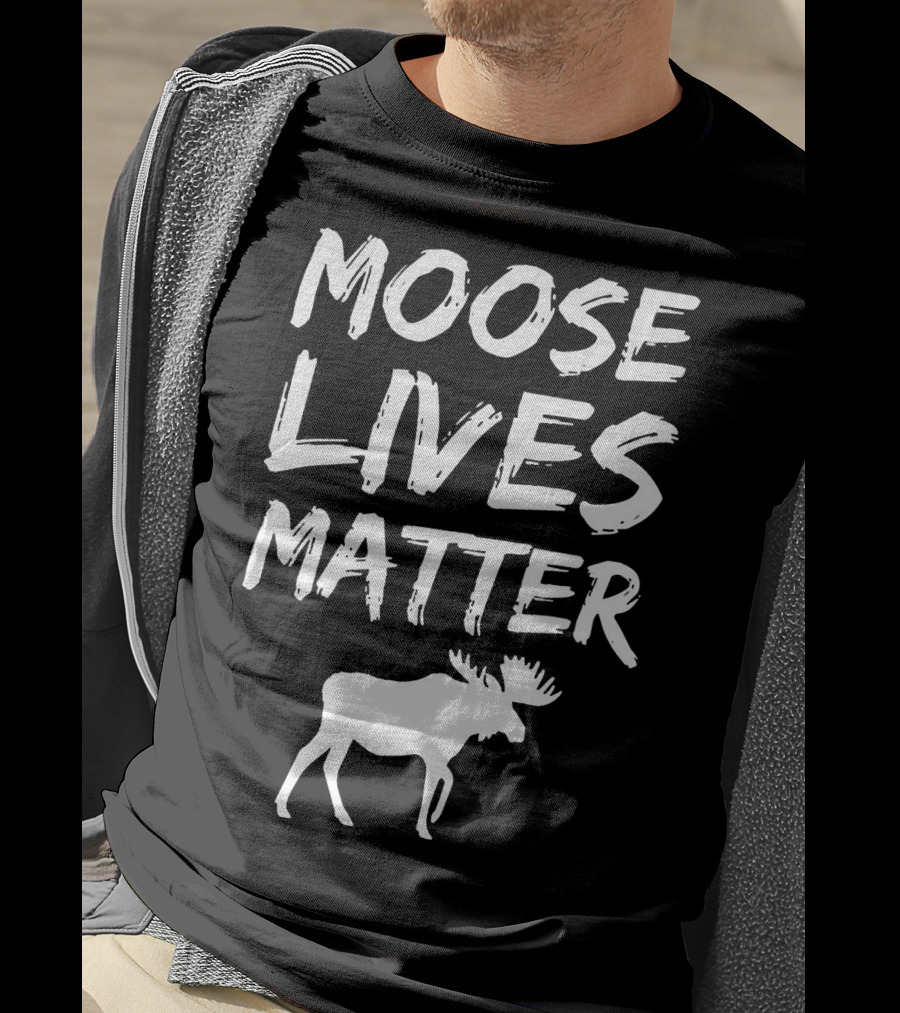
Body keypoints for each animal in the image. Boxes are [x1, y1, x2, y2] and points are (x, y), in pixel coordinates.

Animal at [275, 651, 561, 840]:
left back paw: (341, 815)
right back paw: (283, 806)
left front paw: (430, 821)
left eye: (512, 705)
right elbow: (434, 786)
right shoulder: (431, 753)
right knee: (305, 754)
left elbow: (442, 782)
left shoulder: (438, 757)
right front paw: (426, 826)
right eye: (497, 706)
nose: (520, 731)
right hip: (334, 728)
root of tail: (327, 684)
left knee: (329, 766)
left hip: (344, 736)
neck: (463, 724)